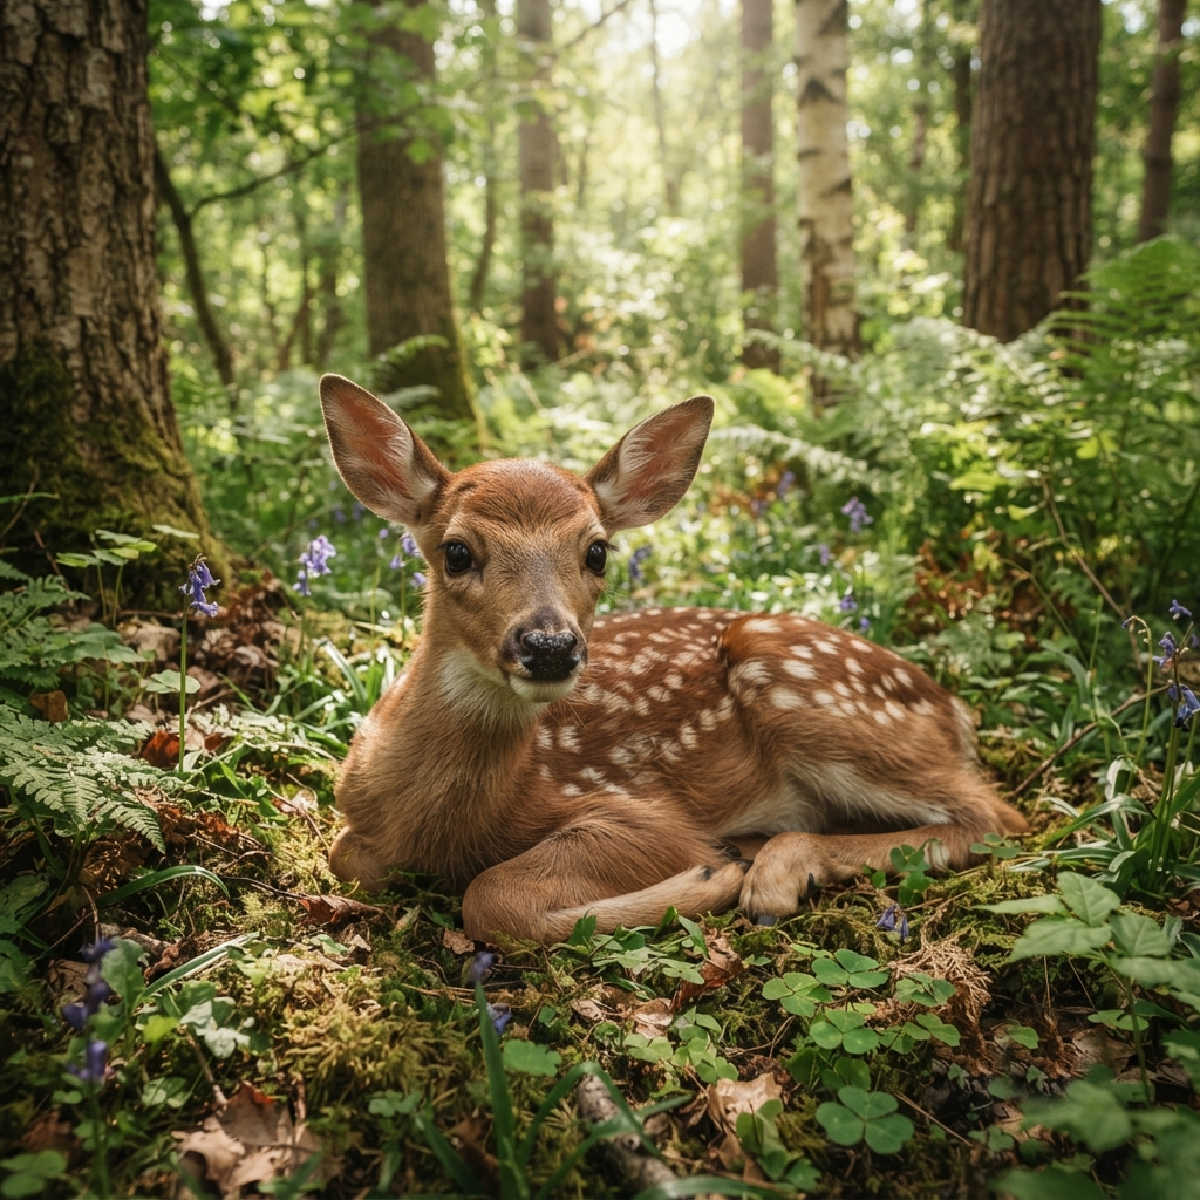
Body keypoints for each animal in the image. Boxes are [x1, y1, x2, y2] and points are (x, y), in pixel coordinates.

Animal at [318, 374, 1028, 944]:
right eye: (457, 551)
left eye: (597, 551)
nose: (550, 646)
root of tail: (952, 710)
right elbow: (344, 859)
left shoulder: (640, 813)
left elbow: (491, 896)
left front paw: (708, 877)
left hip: (803, 690)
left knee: (994, 817)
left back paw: (770, 871)